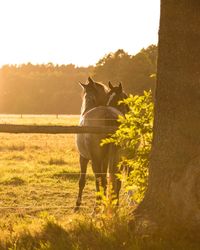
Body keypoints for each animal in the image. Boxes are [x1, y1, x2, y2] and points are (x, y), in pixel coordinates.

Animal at [75, 76, 122, 209]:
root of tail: (108, 114)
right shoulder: (105, 160)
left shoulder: (83, 157)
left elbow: (82, 180)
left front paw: (77, 205)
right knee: (111, 180)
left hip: (95, 160)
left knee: (98, 179)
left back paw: (97, 207)